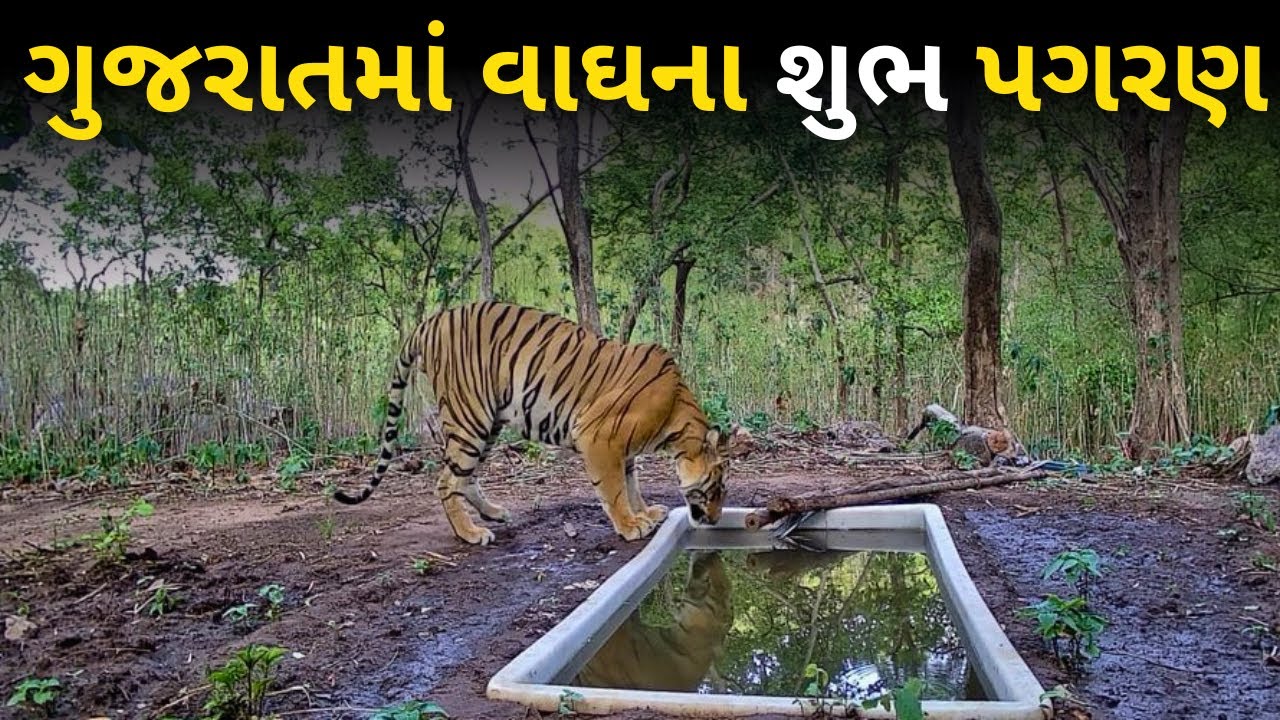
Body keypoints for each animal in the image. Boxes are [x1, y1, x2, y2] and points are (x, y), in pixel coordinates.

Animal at [332, 300, 750, 546]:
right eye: (716, 488)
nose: (715, 520)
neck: (677, 418)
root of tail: (430, 321)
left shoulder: (624, 448)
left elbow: (631, 483)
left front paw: (645, 512)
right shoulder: (599, 436)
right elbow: (614, 489)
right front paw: (631, 525)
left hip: (487, 423)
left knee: (465, 477)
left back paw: (494, 513)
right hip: (470, 417)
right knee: (447, 481)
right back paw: (471, 533)